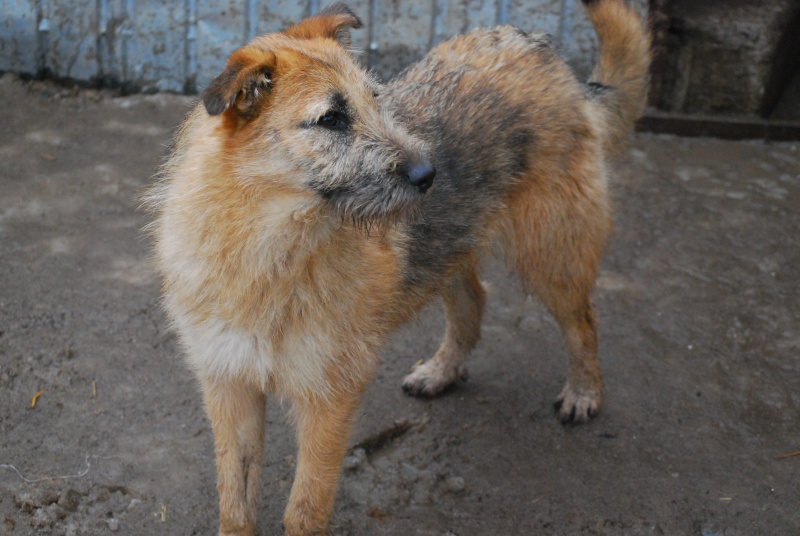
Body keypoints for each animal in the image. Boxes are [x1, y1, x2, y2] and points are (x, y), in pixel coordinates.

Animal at [145, 2, 648, 532]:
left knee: (583, 324)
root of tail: (543, 53)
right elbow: (236, 504)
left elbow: (306, 508)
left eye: (375, 99)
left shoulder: (329, 398)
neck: (267, 252)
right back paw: (441, 372)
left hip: (553, 253)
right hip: (459, 244)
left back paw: (583, 392)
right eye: (331, 119)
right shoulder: (229, 388)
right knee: (474, 300)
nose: (430, 175)